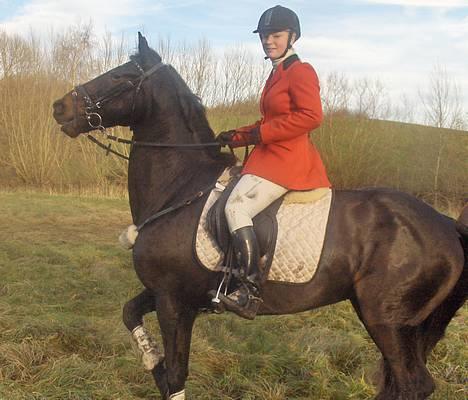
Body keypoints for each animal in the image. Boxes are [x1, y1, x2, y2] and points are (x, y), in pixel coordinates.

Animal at [52, 32, 468, 398]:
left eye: (120, 76)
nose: (60, 107)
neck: (180, 186)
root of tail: (448, 226)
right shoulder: (168, 292)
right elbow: (131, 317)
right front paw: (150, 360)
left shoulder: (172, 300)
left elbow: (175, 376)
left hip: (388, 320)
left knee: (413, 385)